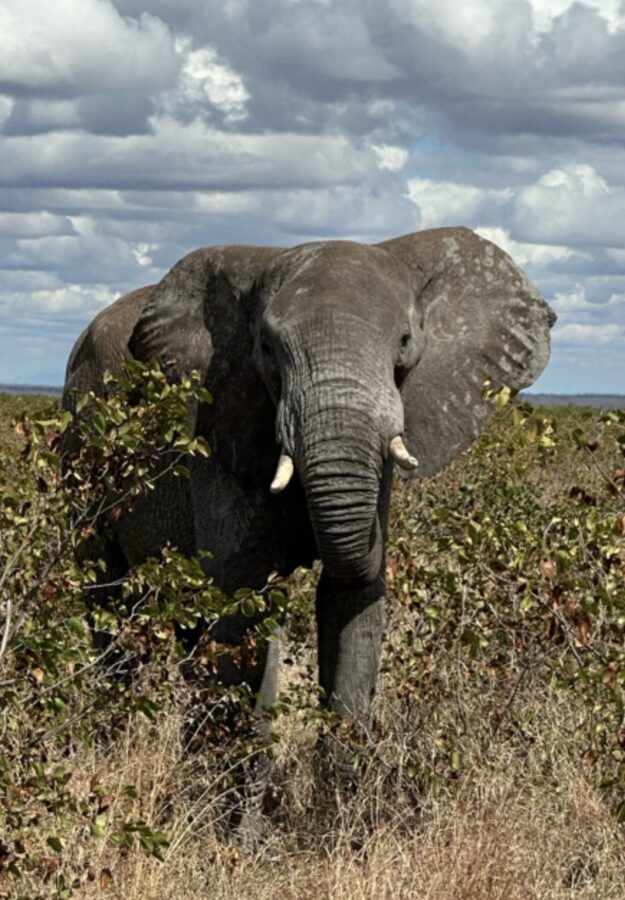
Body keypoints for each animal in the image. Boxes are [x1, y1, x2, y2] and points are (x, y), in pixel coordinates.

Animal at [63, 226, 555, 831]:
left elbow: (352, 601)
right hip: (80, 452)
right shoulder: (222, 430)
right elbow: (242, 603)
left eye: (405, 341)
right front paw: (235, 838)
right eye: (267, 351)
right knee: (107, 600)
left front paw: (337, 823)